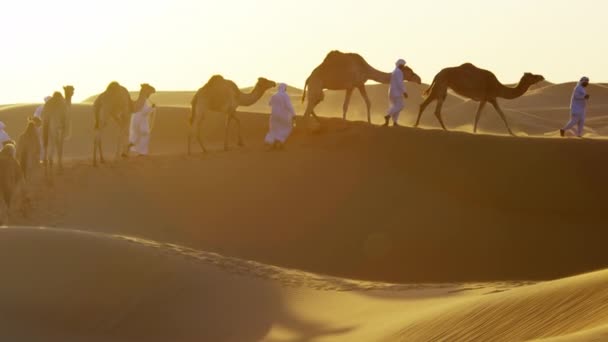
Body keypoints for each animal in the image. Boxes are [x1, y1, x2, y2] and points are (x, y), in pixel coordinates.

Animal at [416, 64, 544, 135]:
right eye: (532, 76)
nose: (542, 76)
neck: (498, 87)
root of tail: (437, 74)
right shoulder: (489, 98)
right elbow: (490, 115)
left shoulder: (489, 99)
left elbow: (494, 115)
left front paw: (511, 133)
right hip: (440, 86)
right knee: (426, 105)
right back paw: (419, 126)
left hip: (442, 89)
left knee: (433, 108)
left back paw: (442, 128)